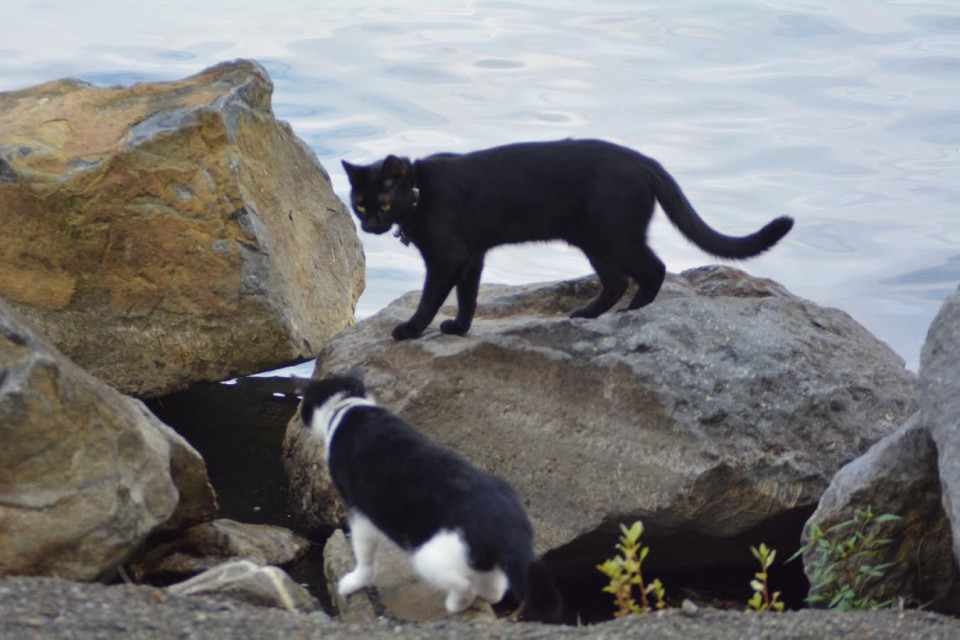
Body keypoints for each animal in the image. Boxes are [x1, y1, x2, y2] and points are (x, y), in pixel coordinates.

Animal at [300, 376, 564, 620]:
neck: (348, 408)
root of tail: (510, 526)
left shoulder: (359, 512)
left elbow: (364, 555)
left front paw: (353, 582)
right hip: (484, 559)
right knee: (496, 587)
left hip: (427, 555)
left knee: (464, 583)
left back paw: (456, 604)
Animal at [342, 139, 792, 340]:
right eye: (359, 205)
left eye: (383, 203)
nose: (370, 225)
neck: (421, 193)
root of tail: (643, 160)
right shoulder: (472, 257)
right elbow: (468, 297)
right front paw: (459, 327)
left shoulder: (448, 257)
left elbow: (431, 296)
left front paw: (411, 329)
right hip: (596, 242)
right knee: (617, 281)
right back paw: (588, 315)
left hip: (612, 237)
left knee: (654, 269)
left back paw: (634, 311)